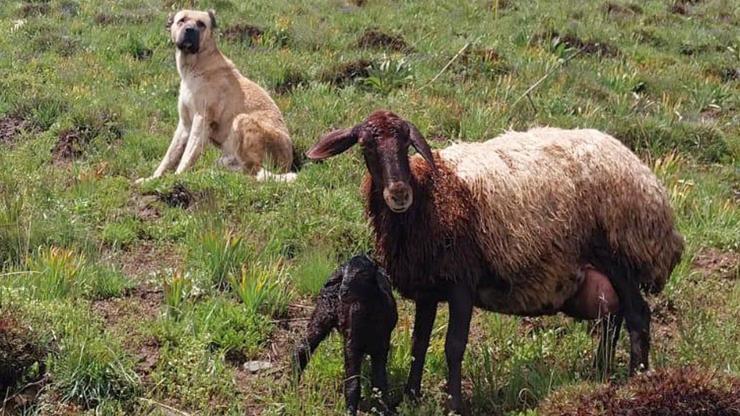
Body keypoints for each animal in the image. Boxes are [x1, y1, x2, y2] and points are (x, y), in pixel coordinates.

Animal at [139, 8, 294, 183]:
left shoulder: (201, 120)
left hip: (241, 120)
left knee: (254, 172)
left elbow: (187, 157)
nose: (189, 30)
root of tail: (288, 162)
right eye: (182, 20)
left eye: (201, 24)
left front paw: (176, 178)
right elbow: (169, 156)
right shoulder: (184, 124)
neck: (195, 66)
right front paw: (152, 179)